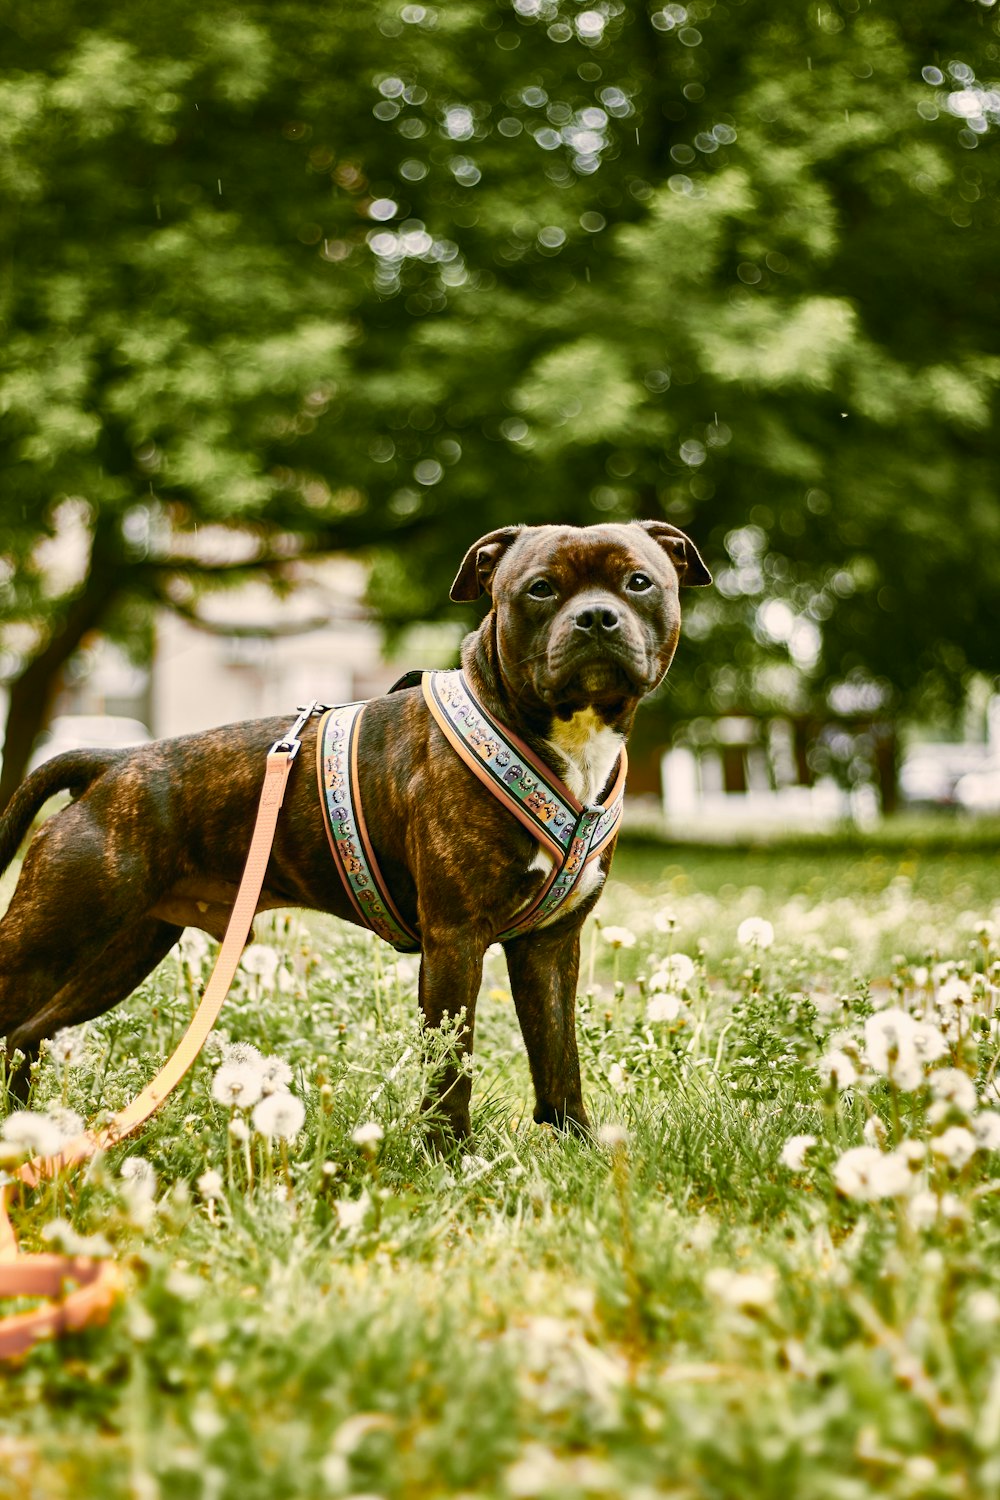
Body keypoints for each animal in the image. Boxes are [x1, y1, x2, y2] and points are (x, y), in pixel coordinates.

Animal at [0, 522, 707, 1140]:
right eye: (540, 588)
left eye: (639, 581)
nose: (596, 617)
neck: (564, 744)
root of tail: (109, 761)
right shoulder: (454, 941)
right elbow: (450, 1069)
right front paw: (449, 1160)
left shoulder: (550, 949)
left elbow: (558, 1062)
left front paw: (580, 1153)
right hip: (50, 937)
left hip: (117, 953)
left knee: (25, 1036)